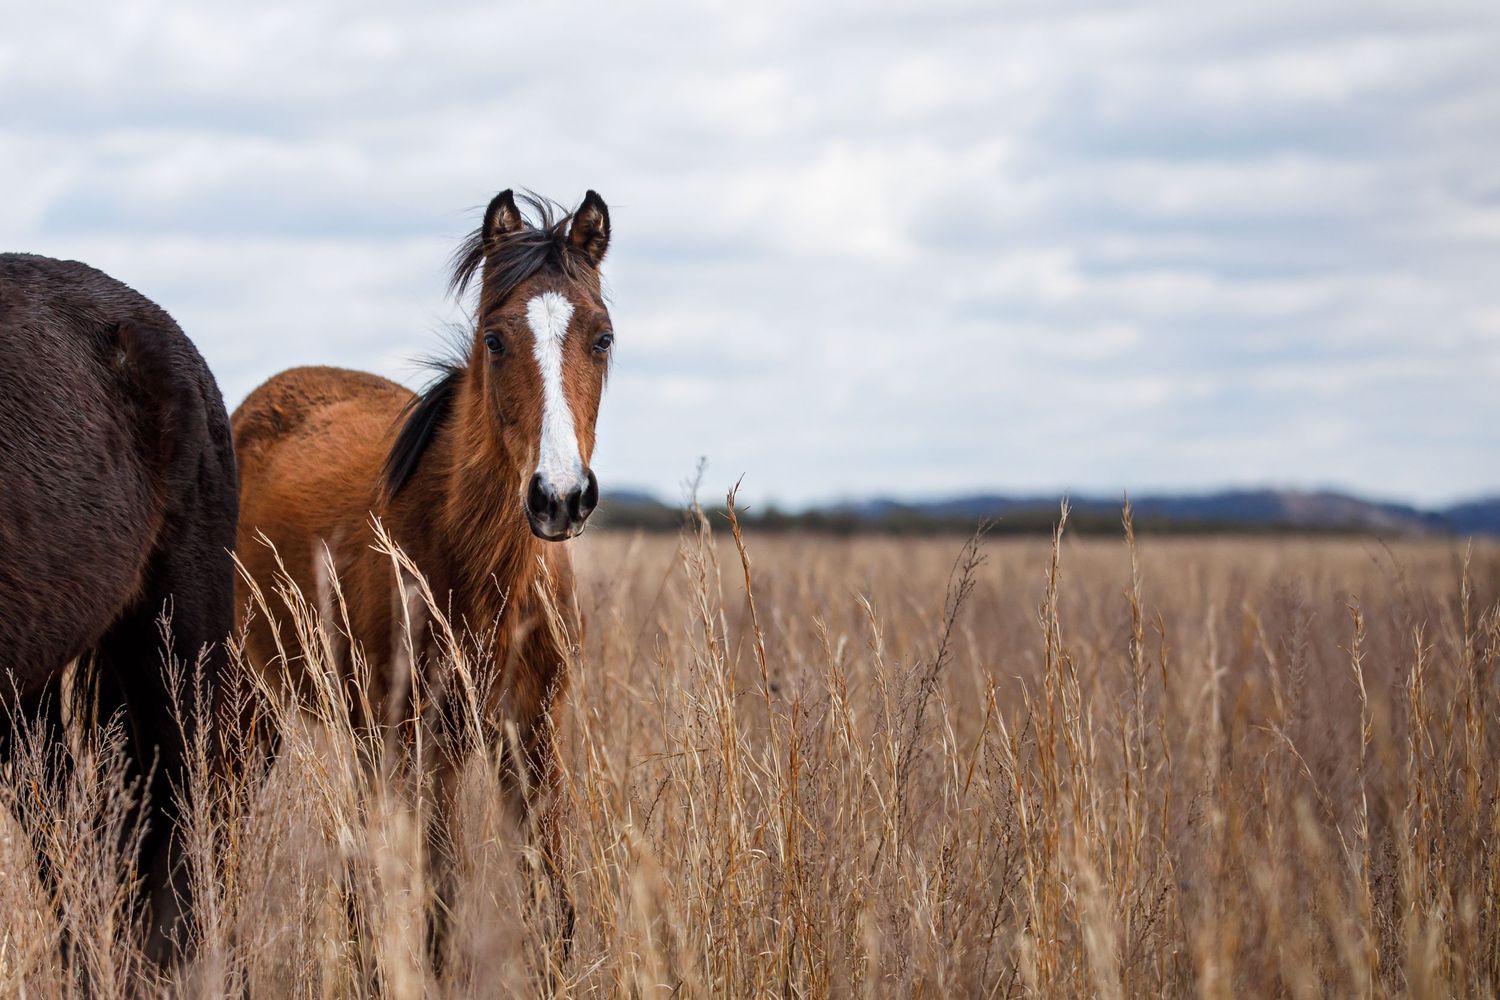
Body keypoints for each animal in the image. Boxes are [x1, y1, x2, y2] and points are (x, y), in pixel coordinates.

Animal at [231, 189, 614, 958]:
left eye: (602, 339)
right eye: (494, 340)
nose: (559, 496)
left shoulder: (531, 735)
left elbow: (553, 911)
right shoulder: (426, 746)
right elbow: (440, 915)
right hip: (248, 702)